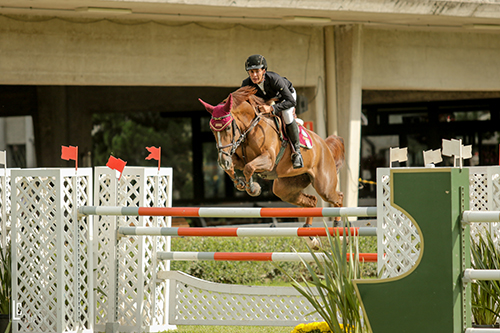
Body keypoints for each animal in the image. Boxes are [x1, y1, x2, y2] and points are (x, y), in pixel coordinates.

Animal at [199, 85, 344, 228]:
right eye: (212, 130)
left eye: (228, 128)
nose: (223, 161)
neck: (250, 127)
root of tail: (324, 144)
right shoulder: (238, 159)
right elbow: (233, 167)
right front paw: (239, 182)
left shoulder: (268, 159)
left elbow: (248, 167)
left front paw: (253, 188)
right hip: (286, 188)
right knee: (312, 200)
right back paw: (309, 232)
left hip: (324, 185)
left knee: (338, 197)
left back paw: (338, 224)